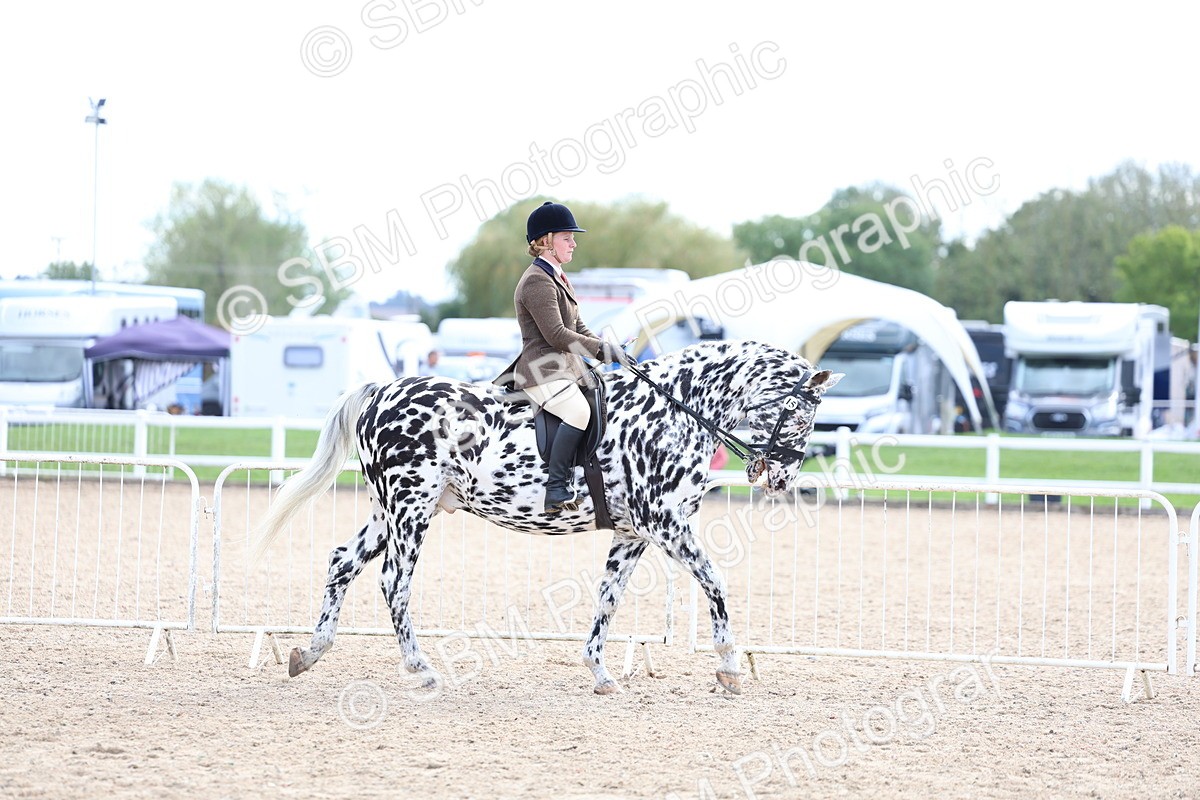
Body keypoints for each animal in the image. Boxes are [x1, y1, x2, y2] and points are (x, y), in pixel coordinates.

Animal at [251, 340, 841, 695]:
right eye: (802, 413)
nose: (782, 478)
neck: (674, 409)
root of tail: (382, 392)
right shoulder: (666, 524)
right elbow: (715, 582)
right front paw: (728, 667)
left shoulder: (633, 533)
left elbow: (609, 598)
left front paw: (601, 673)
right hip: (411, 507)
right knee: (394, 582)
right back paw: (422, 670)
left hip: (390, 511)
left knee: (342, 563)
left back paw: (309, 653)